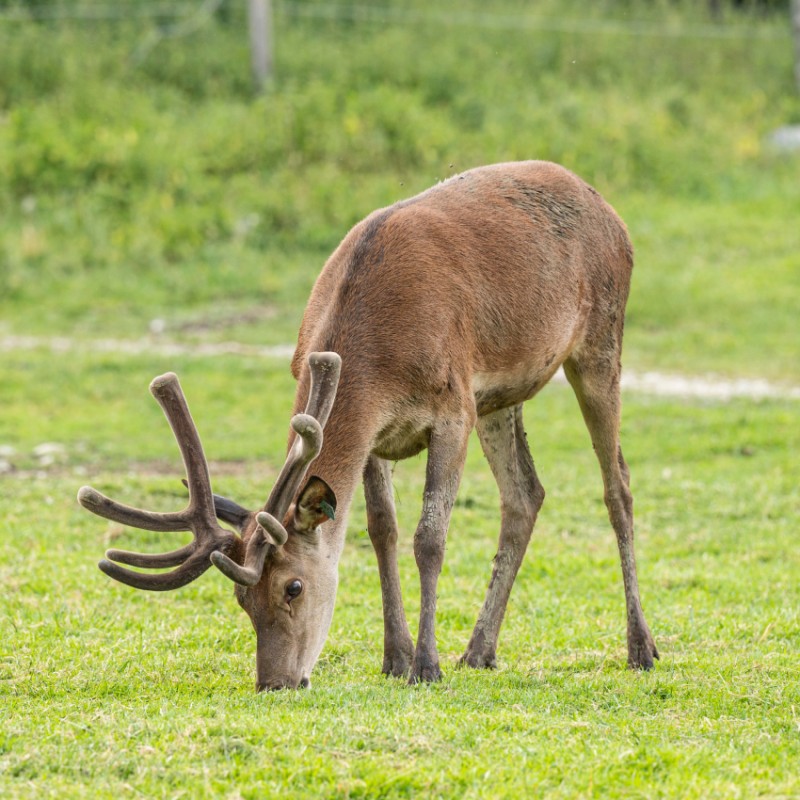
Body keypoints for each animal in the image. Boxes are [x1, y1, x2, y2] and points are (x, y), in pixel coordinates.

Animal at [78, 160, 659, 690]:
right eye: (241, 599)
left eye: (293, 587)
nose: (274, 682)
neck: (377, 356)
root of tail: (608, 208)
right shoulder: (379, 437)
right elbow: (383, 531)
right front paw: (394, 658)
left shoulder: (454, 408)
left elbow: (429, 538)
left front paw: (426, 665)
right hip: (501, 398)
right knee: (525, 494)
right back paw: (479, 650)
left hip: (600, 341)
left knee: (618, 486)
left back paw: (640, 647)